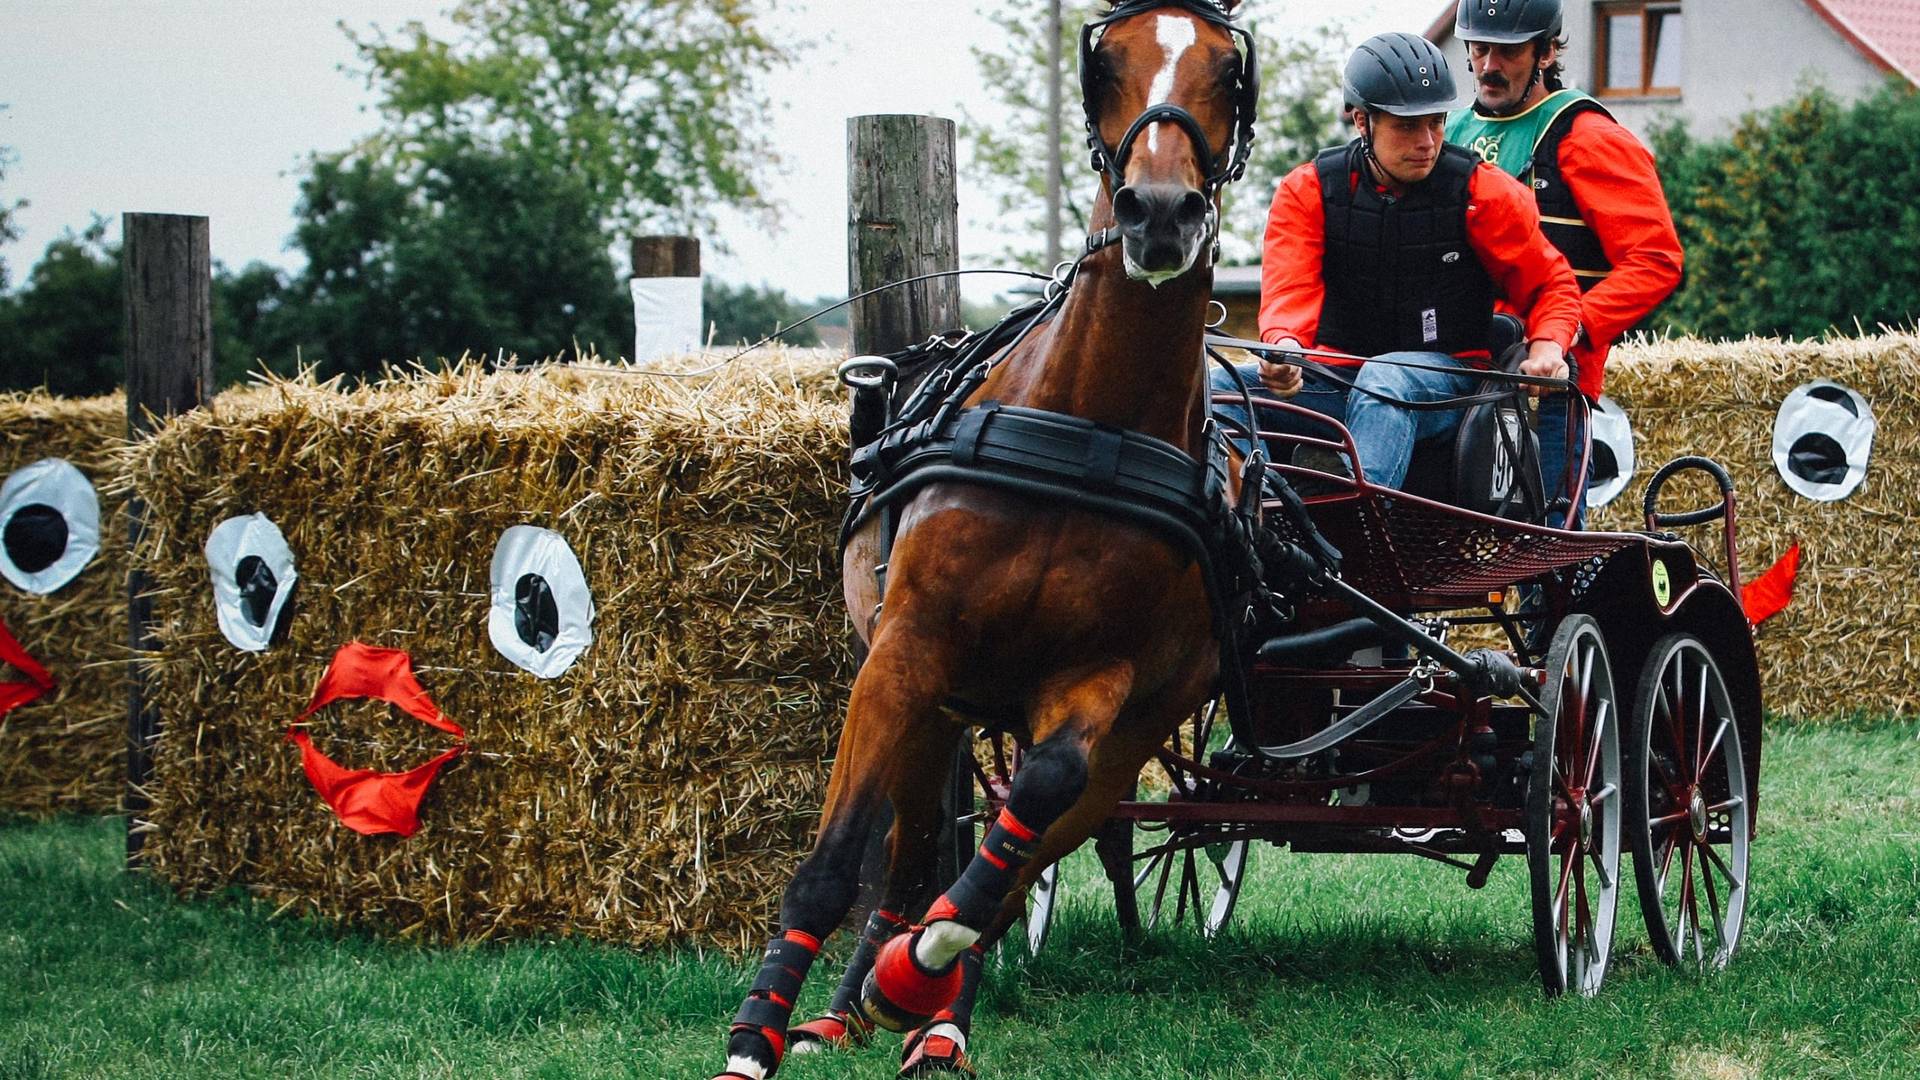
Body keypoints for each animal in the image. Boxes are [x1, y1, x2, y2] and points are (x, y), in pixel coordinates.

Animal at [710, 4, 1259, 1068]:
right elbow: (835, 863)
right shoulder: (905, 653)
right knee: (909, 853)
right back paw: (849, 1005)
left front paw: (918, 977)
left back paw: (923, 1008)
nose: (1159, 212)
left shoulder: (1098, 683)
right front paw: (757, 1037)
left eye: (1227, 68)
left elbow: (1028, 811)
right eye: (1107, 60)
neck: (1086, 431)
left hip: (1127, 737)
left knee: (1012, 858)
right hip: (935, 702)